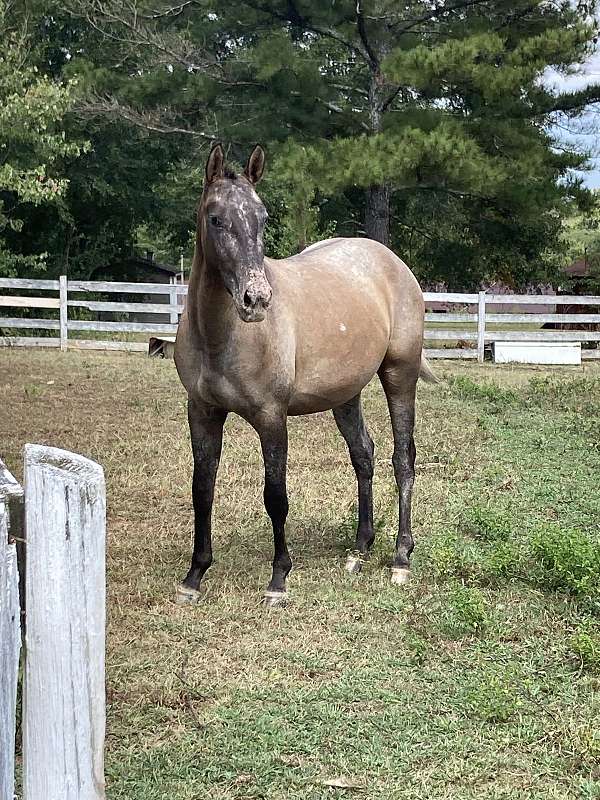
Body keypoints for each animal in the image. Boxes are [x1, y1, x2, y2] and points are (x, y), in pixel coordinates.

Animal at [173, 144, 436, 608]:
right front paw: (195, 574)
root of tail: (392, 262)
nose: (256, 299)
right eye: (216, 218)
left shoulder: (271, 417)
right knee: (363, 455)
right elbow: (201, 489)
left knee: (403, 458)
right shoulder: (202, 411)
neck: (221, 337)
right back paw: (359, 550)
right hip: (345, 394)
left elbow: (276, 496)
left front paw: (279, 579)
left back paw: (401, 557)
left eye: (262, 218)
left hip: (399, 375)